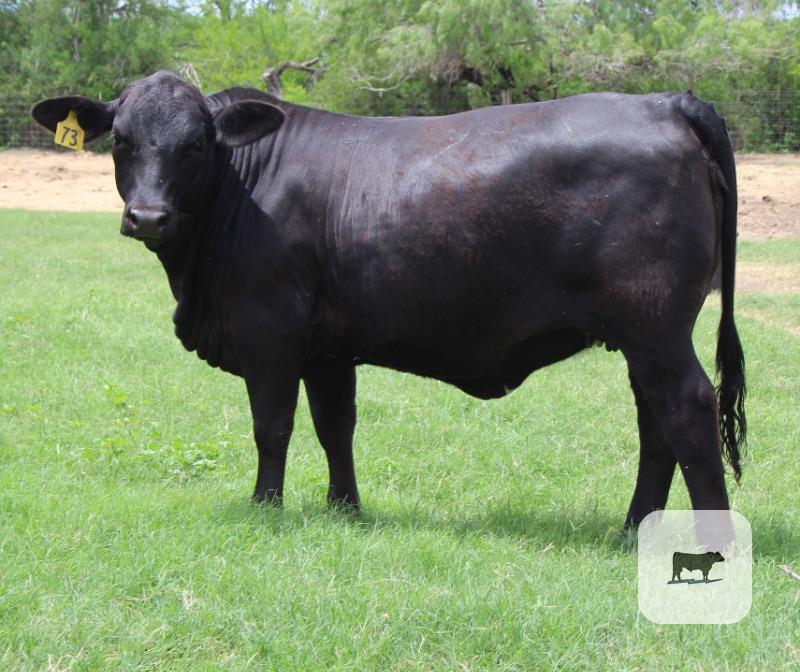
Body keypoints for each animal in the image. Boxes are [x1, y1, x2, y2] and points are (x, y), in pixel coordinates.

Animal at [31, 71, 746, 528]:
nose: (147, 216)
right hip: (640, 337)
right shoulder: (327, 348)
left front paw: (266, 508)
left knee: (688, 410)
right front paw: (343, 509)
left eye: (196, 143)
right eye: (122, 140)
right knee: (655, 425)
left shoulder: (269, 332)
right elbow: (334, 426)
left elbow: (273, 425)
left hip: (655, 327)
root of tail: (664, 102)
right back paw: (633, 528)